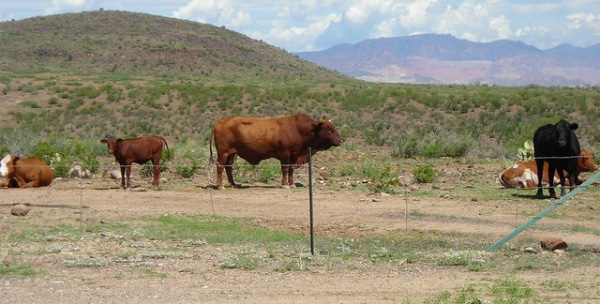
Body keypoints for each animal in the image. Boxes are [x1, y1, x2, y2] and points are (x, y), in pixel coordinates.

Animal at [210, 114, 342, 189]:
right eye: (329, 130)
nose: (340, 141)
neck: (298, 129)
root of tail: (221, 121)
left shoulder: (294, 155)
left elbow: (290, 170)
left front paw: (292, 184)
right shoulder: (285, 153)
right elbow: (285, 169)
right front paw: (284, 185)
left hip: (231, 154)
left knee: (228, 167)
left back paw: (233, 184)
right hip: (223, 153)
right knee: (220, 166)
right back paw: (220, 186)